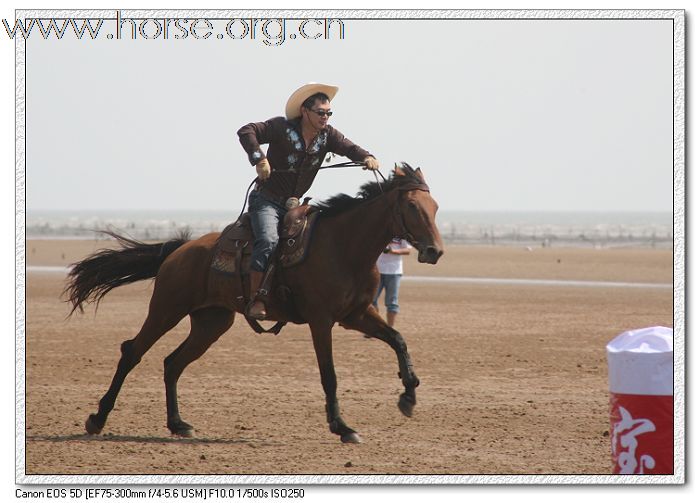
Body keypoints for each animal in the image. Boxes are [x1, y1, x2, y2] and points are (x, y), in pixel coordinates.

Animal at [68, 163, 446, 442]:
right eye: (412, 206)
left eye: (436, 207)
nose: (435, 251)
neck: (343, 246)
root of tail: (180, 249)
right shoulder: (321, 320)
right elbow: (330, 374)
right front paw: (343, 427)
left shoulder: (356, 315)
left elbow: (398, 339)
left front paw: (409, 396)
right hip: (166, 310)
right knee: (132, 352)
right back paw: (97, 418)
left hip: (211, 322)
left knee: (172, 363)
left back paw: (178, 424)